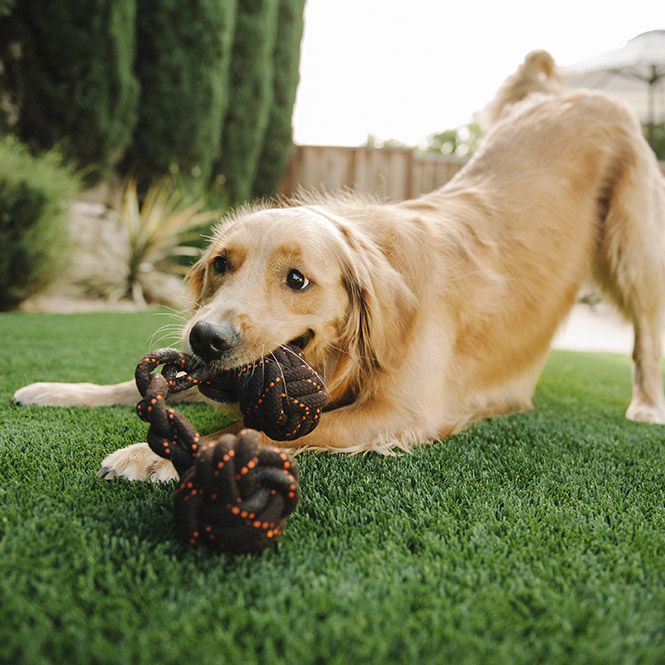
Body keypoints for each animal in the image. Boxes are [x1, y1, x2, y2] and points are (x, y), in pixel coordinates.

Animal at [14, 49, 664, 480]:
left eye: (297, 280)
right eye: (221, 265)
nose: (205, 338)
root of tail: (567, 90)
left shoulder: (397, 412)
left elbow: (250, 426)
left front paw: (151, 455)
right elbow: (145, 387)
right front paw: (56, 389)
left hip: (634, 250)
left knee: (645, 332)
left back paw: (646, 406)